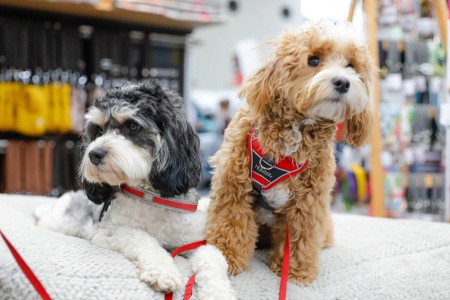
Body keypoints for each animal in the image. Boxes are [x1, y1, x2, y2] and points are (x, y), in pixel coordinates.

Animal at [35, 81, 236, 298]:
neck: (150, 198)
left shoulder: (195, 241)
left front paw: (219, 292)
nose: (94, 154)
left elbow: (213, 259)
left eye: (132, 126)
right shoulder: (106, 233)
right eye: (99, 130)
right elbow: (142, 238)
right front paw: (163, 271)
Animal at [206, 19, 374, 284]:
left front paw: (295, 271)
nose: (343, 82)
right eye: (313, 60)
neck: (295, 133)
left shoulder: (308, 203)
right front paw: (225, 257)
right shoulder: (233, 185)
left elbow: (300, 237)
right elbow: (229, 222)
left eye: (351, 66)